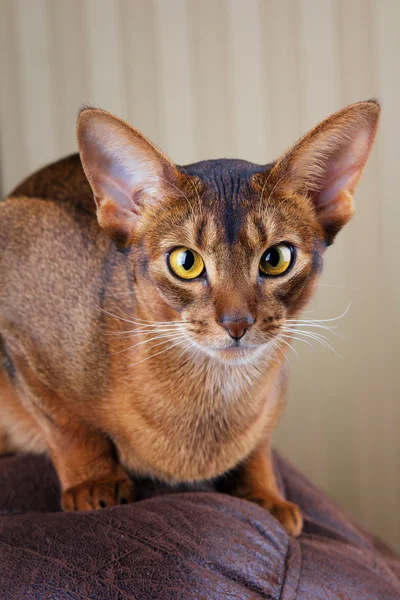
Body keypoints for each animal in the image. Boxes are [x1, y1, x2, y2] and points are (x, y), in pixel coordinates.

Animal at [0, 99, 380, 536]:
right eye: (185, 262)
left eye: (276, 258)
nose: (236, 323)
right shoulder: (19, 328)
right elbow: (65, 425)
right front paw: (94, 482)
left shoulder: (276, 389)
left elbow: (260, 443)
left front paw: (264, 494)